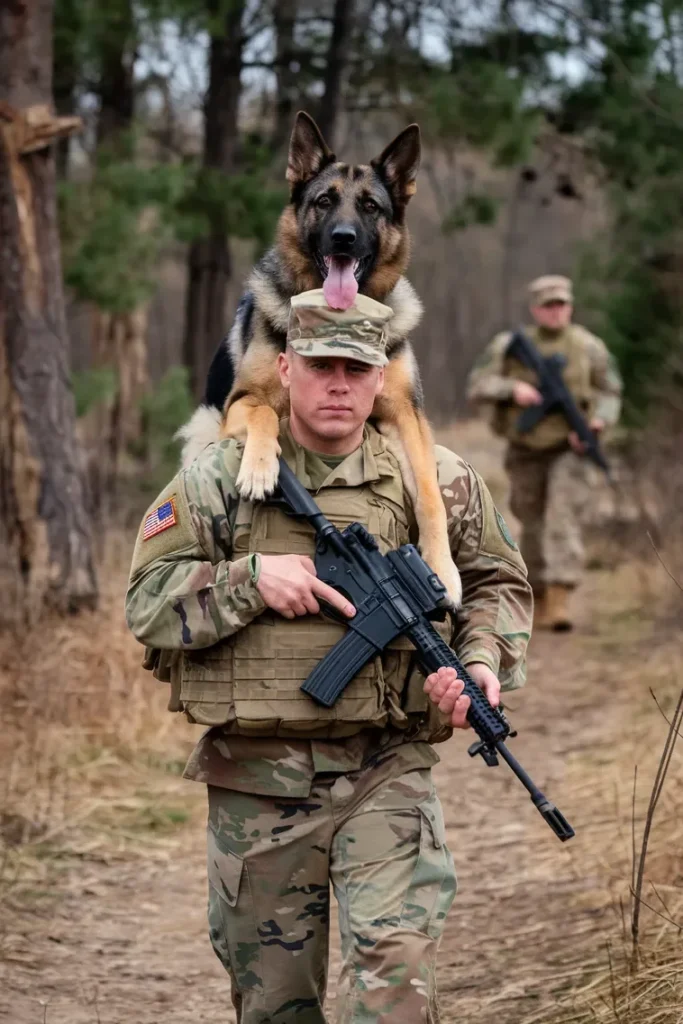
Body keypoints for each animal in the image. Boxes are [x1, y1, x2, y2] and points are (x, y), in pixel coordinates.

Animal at [181, 112, 462, 606]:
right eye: (324, 201)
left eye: (370, 207)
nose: (343, 239)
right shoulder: (239, 403)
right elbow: (264, 414)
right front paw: (260, 468)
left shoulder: (406, 414)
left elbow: (429, 491)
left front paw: (443, 572)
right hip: (204, 428)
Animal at [466, 276, 622, 634]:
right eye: (548, 304)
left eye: (561, 304)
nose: (558, 310)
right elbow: (481, 381)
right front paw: (524, 393)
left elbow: (609, 388)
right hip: (525, 472)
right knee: (531, 516)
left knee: (545, 520)